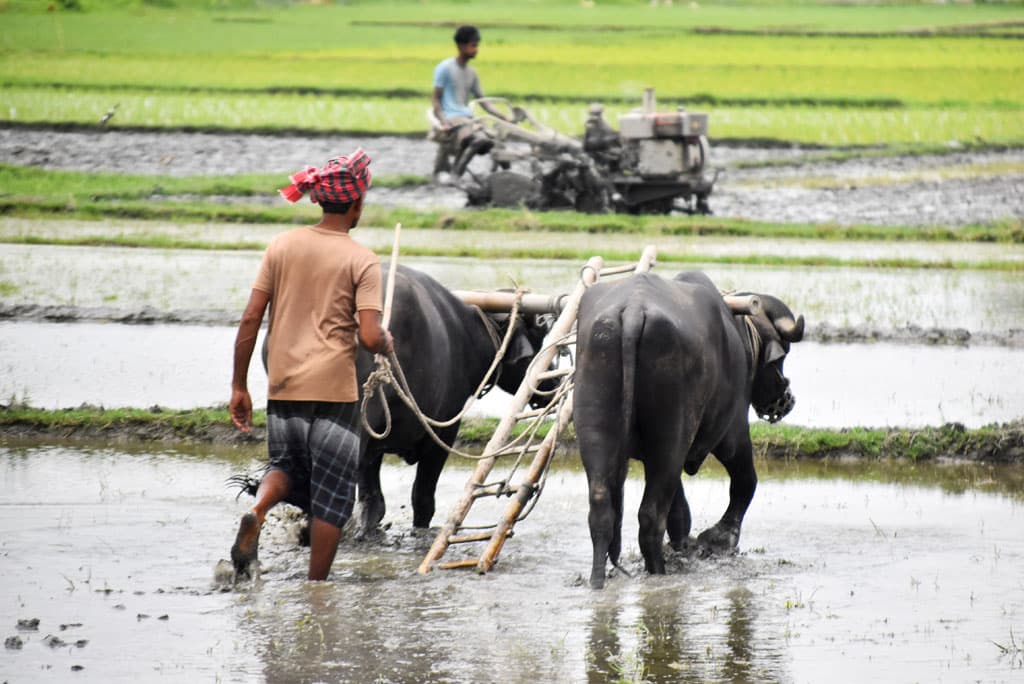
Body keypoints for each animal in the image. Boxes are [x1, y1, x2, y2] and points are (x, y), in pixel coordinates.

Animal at [573, 270, 802, 589]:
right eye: (784, 356)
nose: (787, 400)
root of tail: (633, 312)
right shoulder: (733, 432)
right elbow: (746, 481)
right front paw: (720, 539)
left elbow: (680, 510)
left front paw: (685, 545)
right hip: (672, 437)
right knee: (651, 517)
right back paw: (658, 572)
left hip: (598, 431)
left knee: (602, 509)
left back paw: (598, 579)